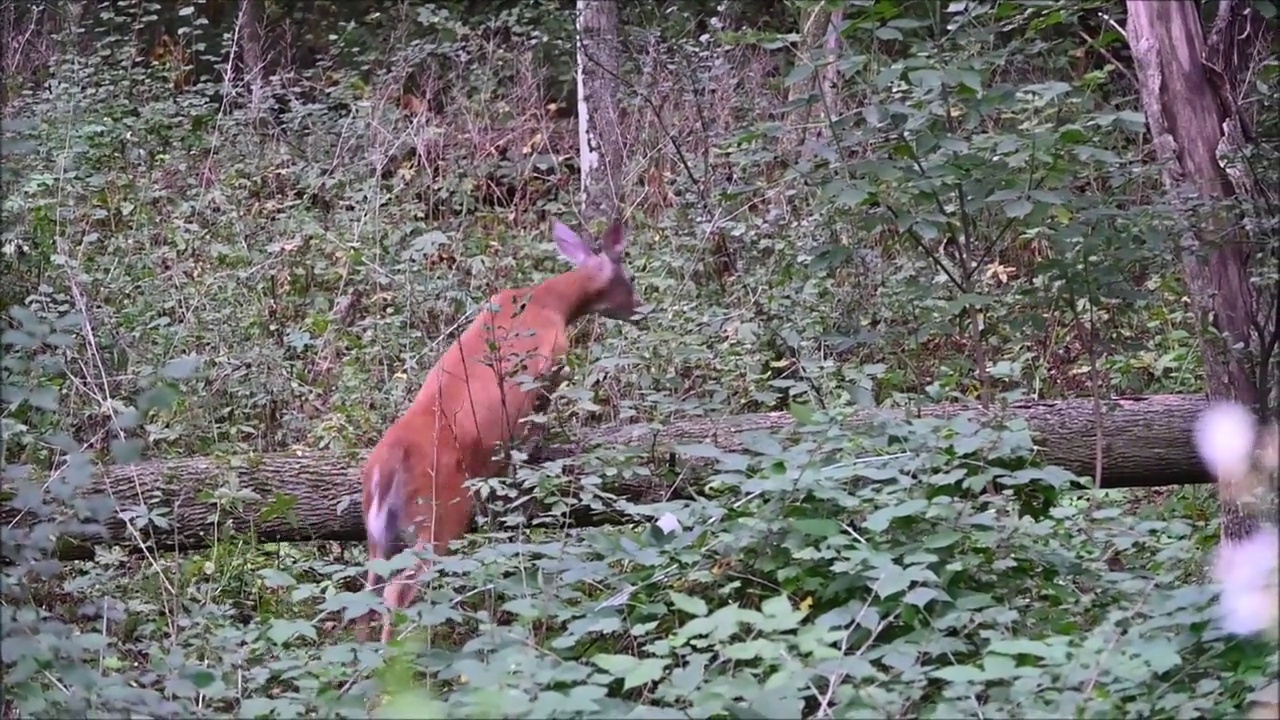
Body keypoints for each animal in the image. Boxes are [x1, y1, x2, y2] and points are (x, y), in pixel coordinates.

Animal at [355, 215, 640, 640]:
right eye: (630, 277)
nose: (640, 308)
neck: (550, 302)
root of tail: (389, 465)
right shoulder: (551, 364)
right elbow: (538, 418)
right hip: (442, 513)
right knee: (399, 591)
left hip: (376, 533)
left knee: (363, 597)